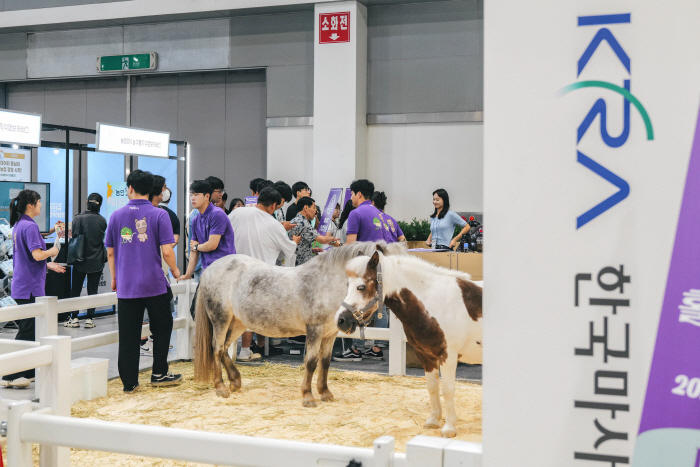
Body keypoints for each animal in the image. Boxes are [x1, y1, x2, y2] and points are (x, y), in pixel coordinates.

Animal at [194, 243, 408, 408]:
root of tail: (209, 269)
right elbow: (311, 361)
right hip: (220, 319)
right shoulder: (314, 329)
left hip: (237, 322)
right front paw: (308, 396)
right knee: (217, 348)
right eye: (361, 287)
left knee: (224, 349)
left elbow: (325, 362)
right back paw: (221, 387)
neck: (328, 284)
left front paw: (325, 393)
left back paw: (235, 381)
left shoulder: (330, 333)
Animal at [334, 250, 482, 436]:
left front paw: (449, 428)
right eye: (348, 284)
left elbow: (448, 390)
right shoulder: (426, 355)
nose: (341, 321)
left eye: (361, 287)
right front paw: (433, 420)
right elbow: (432, 387)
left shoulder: (448, 355)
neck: (436, 302)